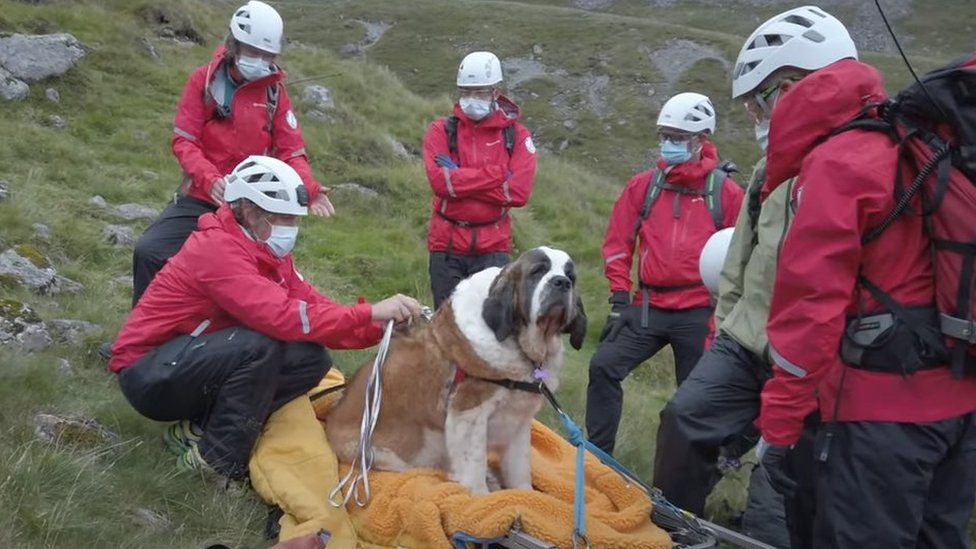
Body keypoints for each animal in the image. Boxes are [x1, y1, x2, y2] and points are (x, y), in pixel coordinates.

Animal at [328, 246, 588, 494]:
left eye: (571, 277)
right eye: (538, 271)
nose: (561, 282)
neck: (519, 343)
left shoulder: (519, 419)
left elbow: (520, 467)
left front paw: (524, 494)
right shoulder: (470, 412)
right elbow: (474, 464)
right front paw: (481, 495)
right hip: (379, 454)